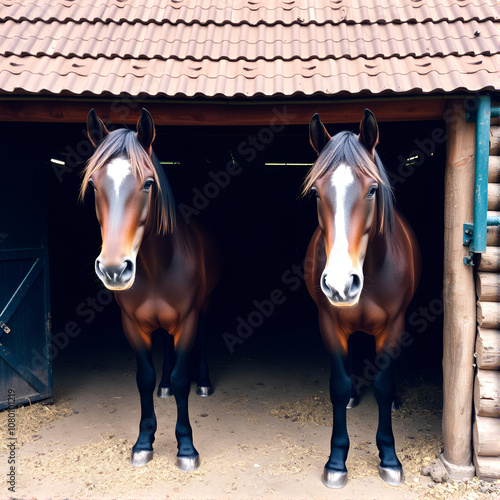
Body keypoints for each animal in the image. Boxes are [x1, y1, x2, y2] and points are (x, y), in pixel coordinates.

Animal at [81, 109, 219, 472]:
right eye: (94, 184)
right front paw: (144, 442)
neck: (159, 266)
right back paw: (165, 385)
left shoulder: (188, 320)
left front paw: (186, 448)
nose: (114, 269)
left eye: (147, 183)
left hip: (205, 308)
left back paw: (204, 382)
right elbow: (144, 378)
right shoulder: (132, 324)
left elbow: (184, 377)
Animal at [302, 109, 420, 488]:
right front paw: (337, 461)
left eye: (372, 190)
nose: (341, 284)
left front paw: (390, 457)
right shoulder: (329, 322)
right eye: (316, 193)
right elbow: (338, 387)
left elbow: (382, 385)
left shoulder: (395, 325)